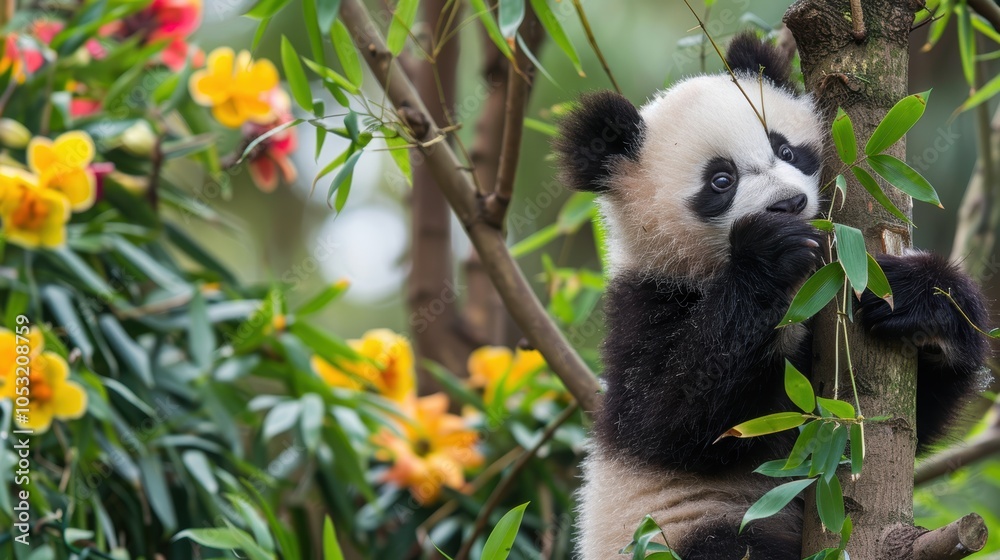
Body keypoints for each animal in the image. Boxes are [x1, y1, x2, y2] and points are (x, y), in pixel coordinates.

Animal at [554, 33, 991, 559]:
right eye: (721, 180)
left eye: (785, 148)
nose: (790, 204)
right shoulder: (645, 305)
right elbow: (670, 418)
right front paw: (769, 253)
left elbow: (914, 414)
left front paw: (920, 301)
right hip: (673, 531)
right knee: (730, 545)